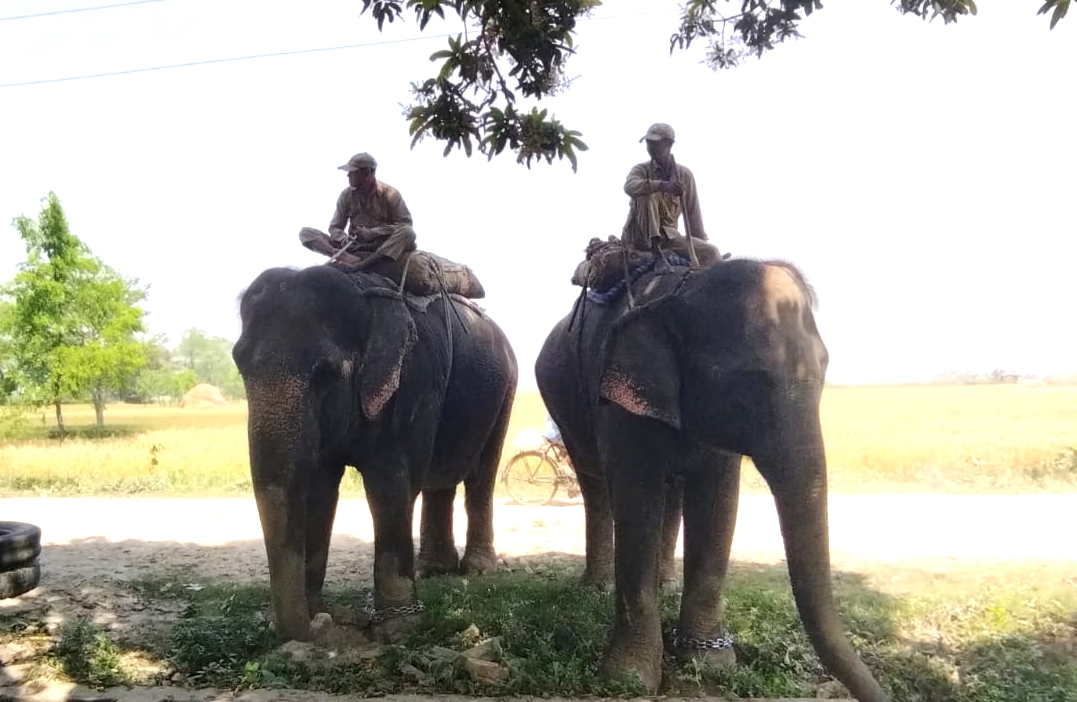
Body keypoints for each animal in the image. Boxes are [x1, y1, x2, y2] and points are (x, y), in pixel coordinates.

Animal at [233, 264, 518, 643]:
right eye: (239, 365)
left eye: (326, 373)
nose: (320, 624)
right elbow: (320, 489)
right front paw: (320, 612)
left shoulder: (414, 381)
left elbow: (389, 485)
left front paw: (397, 629)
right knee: (439, 483)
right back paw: (434, 570)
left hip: (506, 392)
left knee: (481, 476)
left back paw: (477, 568)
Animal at [535, 258, 888, 701]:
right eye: (748, 381)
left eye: (825, 370)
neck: (681, 290)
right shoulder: (617, 397)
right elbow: (637, 497)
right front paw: (627, 679)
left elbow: (719, 502)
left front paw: (708, 662)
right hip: (561, 400)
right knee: (595, 483)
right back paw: (596, 588)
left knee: (672, 492)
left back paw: (665, 584)